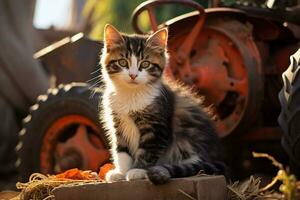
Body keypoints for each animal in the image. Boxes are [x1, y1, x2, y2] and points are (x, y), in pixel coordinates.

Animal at [100, 24, 225, 184]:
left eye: (145, 64)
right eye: (122, 62)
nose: (133, 75)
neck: (131, 94)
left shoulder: (157, 128)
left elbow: (147, 151)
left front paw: (137, 170)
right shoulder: (118, 124)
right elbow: (121, 151)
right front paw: (121, 172)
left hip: (189, 143)